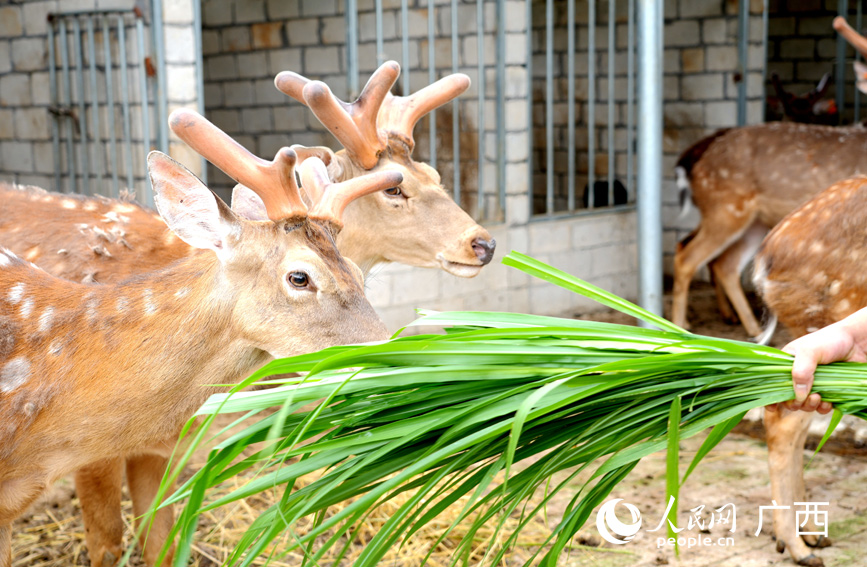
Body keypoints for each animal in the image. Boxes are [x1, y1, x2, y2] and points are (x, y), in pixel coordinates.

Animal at [0, 63, 495, 566]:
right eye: (396, 188)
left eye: (435, 173)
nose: (484, 243)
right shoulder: (93, 460)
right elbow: (107, 541)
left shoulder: (163, 444)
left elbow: (161, 545)